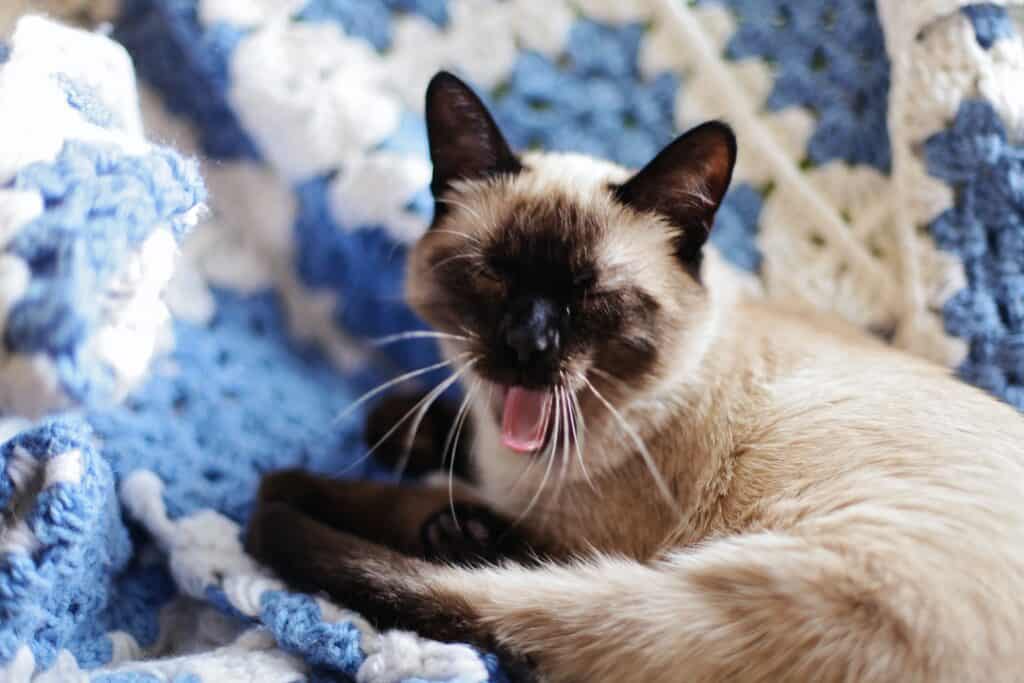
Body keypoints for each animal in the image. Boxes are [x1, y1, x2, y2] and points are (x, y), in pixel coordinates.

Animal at [241, 70, 1024, 683]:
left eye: (589, 294)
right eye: (496, 274)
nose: (527, 343)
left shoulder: (580, 530)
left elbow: (414, 503)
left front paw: (316, 486)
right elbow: (428, 431)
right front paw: (400, 430)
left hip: (696, 588)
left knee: (481, 584)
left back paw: (315, 509)